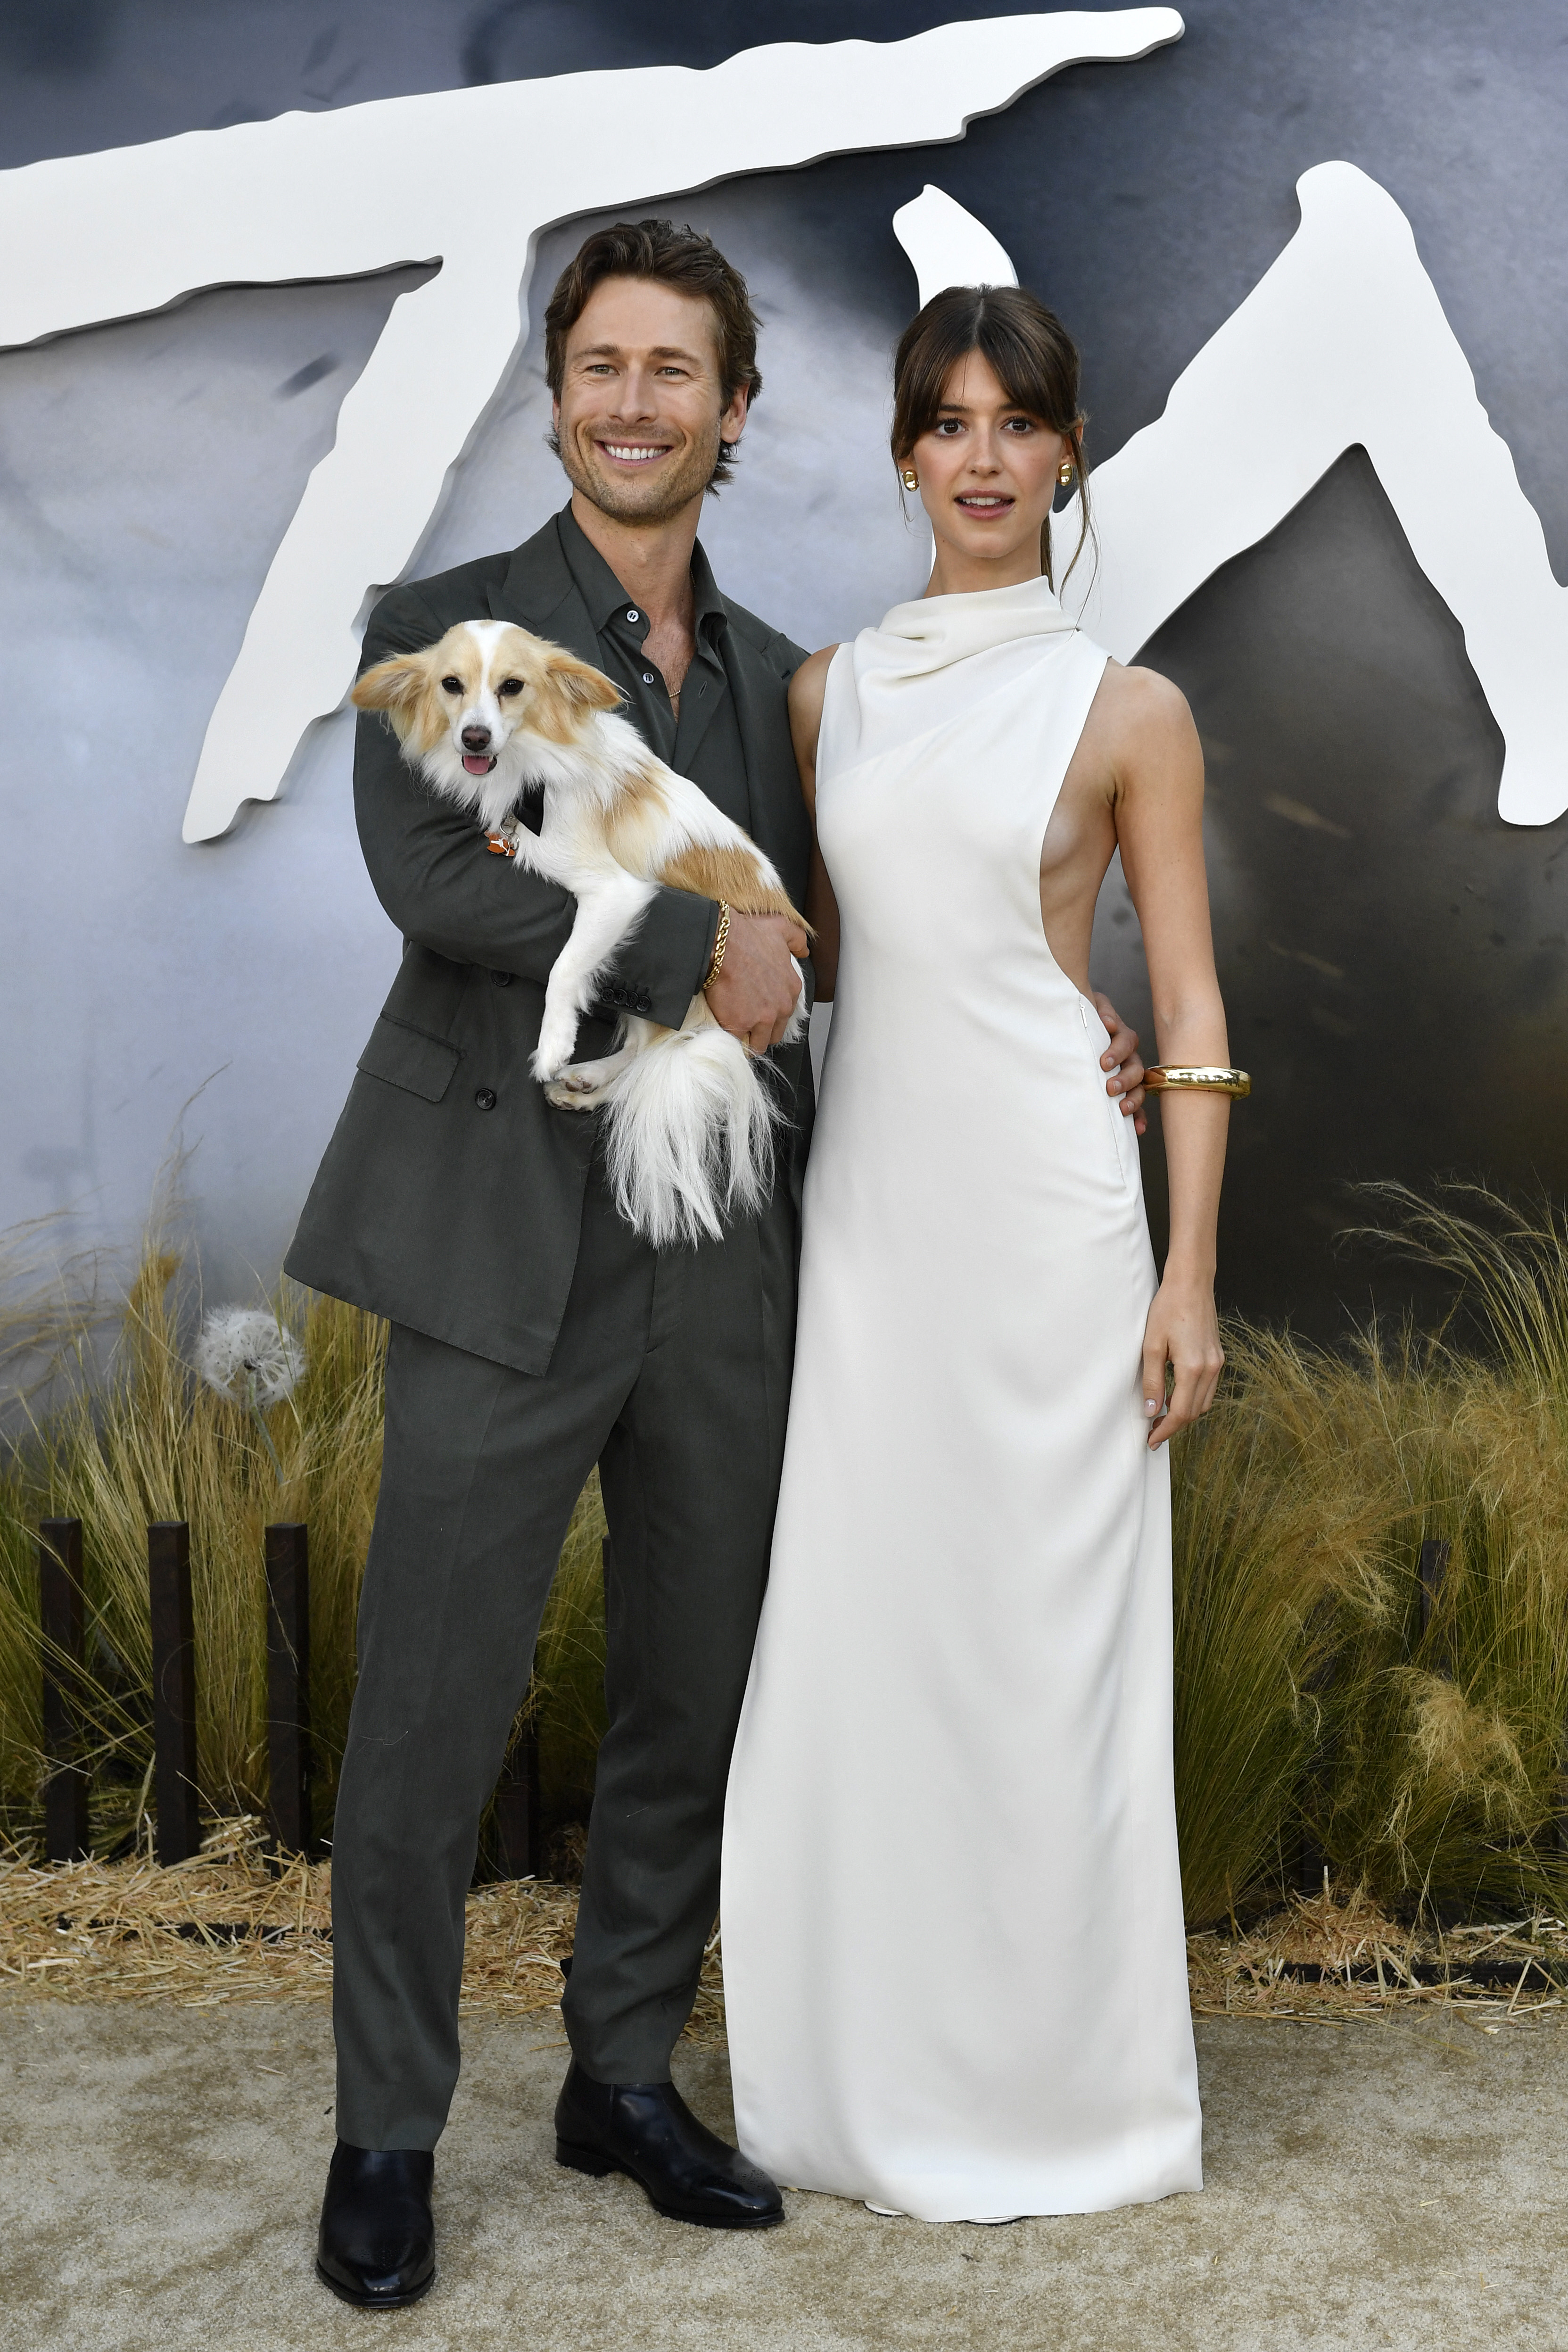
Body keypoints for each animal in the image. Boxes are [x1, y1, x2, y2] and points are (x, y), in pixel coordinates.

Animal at [355, 621, 809, 1251]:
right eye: (451, 685)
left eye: (512, 687)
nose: (474, 737)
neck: (528, 769)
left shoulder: (613, 895)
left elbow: (564, 968)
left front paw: (552, 1044)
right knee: (643, 1057)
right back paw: (588, 1079)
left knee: (650, 1068)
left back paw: (583, 1078)